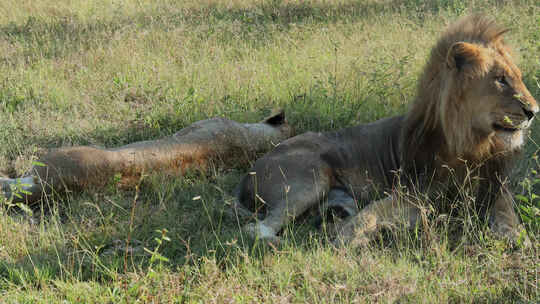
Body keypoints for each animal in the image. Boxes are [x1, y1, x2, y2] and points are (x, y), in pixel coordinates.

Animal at [238, 15, 536, 246]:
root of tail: (248, 174)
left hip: (336, 197)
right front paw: (348, 237)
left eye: (519, 77)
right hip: (310, 178)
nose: (534, 111)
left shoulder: (495, 187)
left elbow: (508, 214)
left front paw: (516, 236)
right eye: (500, 79)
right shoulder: (414, 191)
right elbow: (375, 211)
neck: (471, 143)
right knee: (255, 228)